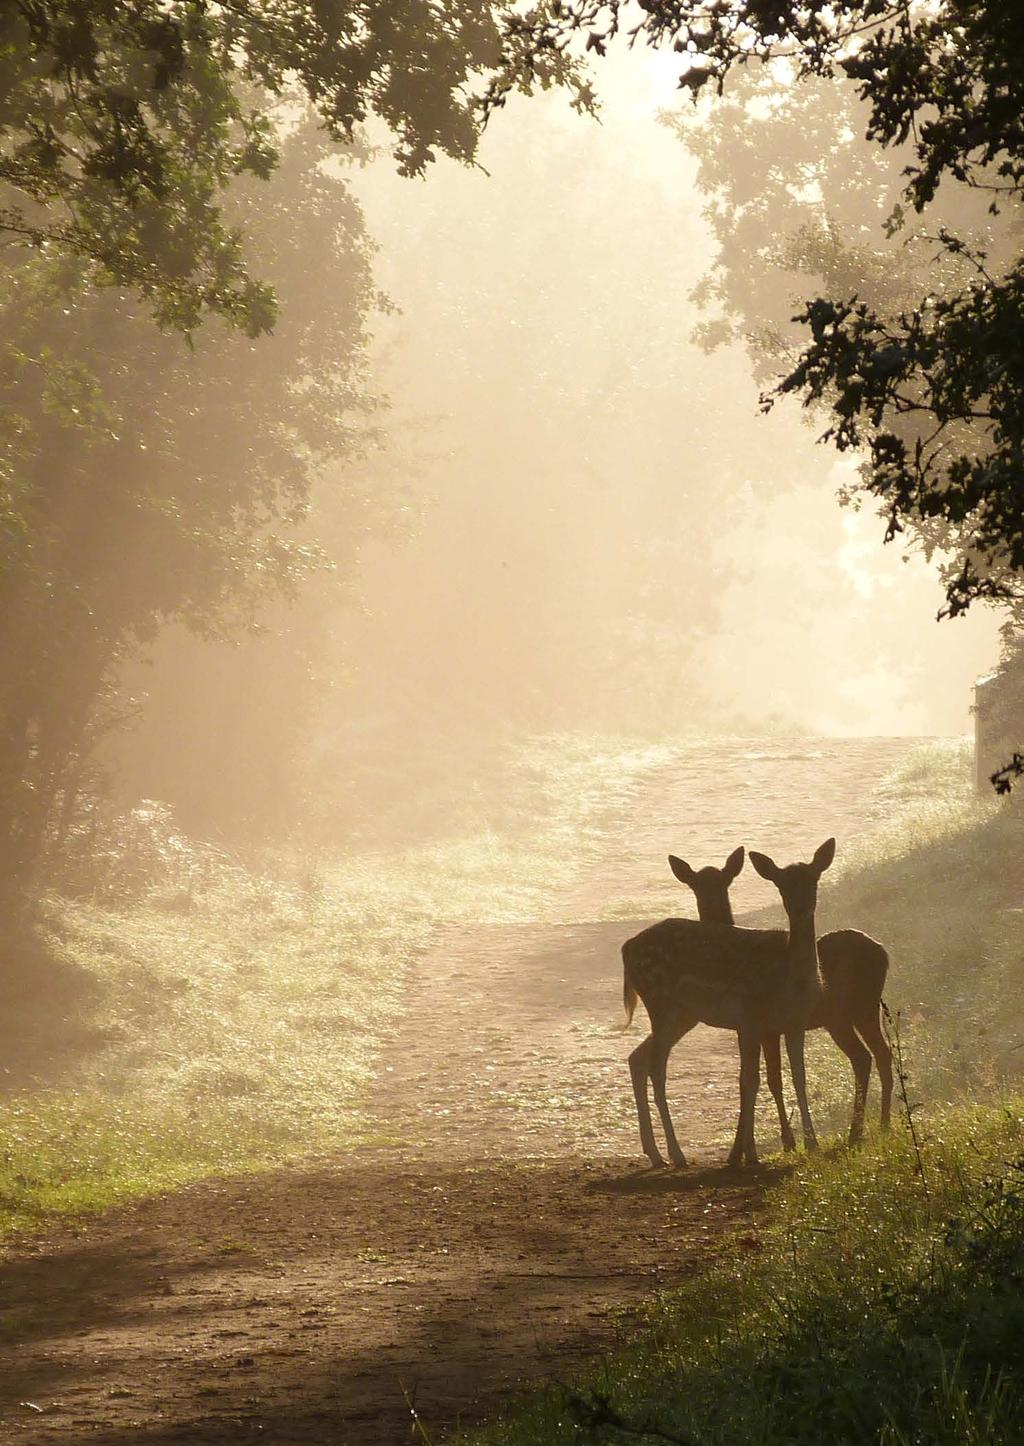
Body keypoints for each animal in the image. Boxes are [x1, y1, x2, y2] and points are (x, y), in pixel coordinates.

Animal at [619, 844, 838, 1168]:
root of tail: (627, 947)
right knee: (657, 1068)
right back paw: (676, 1154)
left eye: (814, 879)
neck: (790, 979)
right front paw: (750, 1154)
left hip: (682, 1015)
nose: (801, 909)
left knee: (638, 1057)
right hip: (660, 1000)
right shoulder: (750, 1019)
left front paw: (812, 1145)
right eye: (782, 885)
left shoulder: (794, 1023)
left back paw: (656, 1154)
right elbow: (750, 1080)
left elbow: (798, 1077)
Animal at [668, 844, 890, 1145]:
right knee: (866, 1056)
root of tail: (884, 952)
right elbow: (768, 1076)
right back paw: (864, 1129)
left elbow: (769, 1078)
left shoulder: (762, 1027)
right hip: (843, 1017)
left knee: (877, 1054)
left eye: (723, 882)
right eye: (695, 885)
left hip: (862, 1007)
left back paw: (877, 1125)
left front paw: (785, 1142)